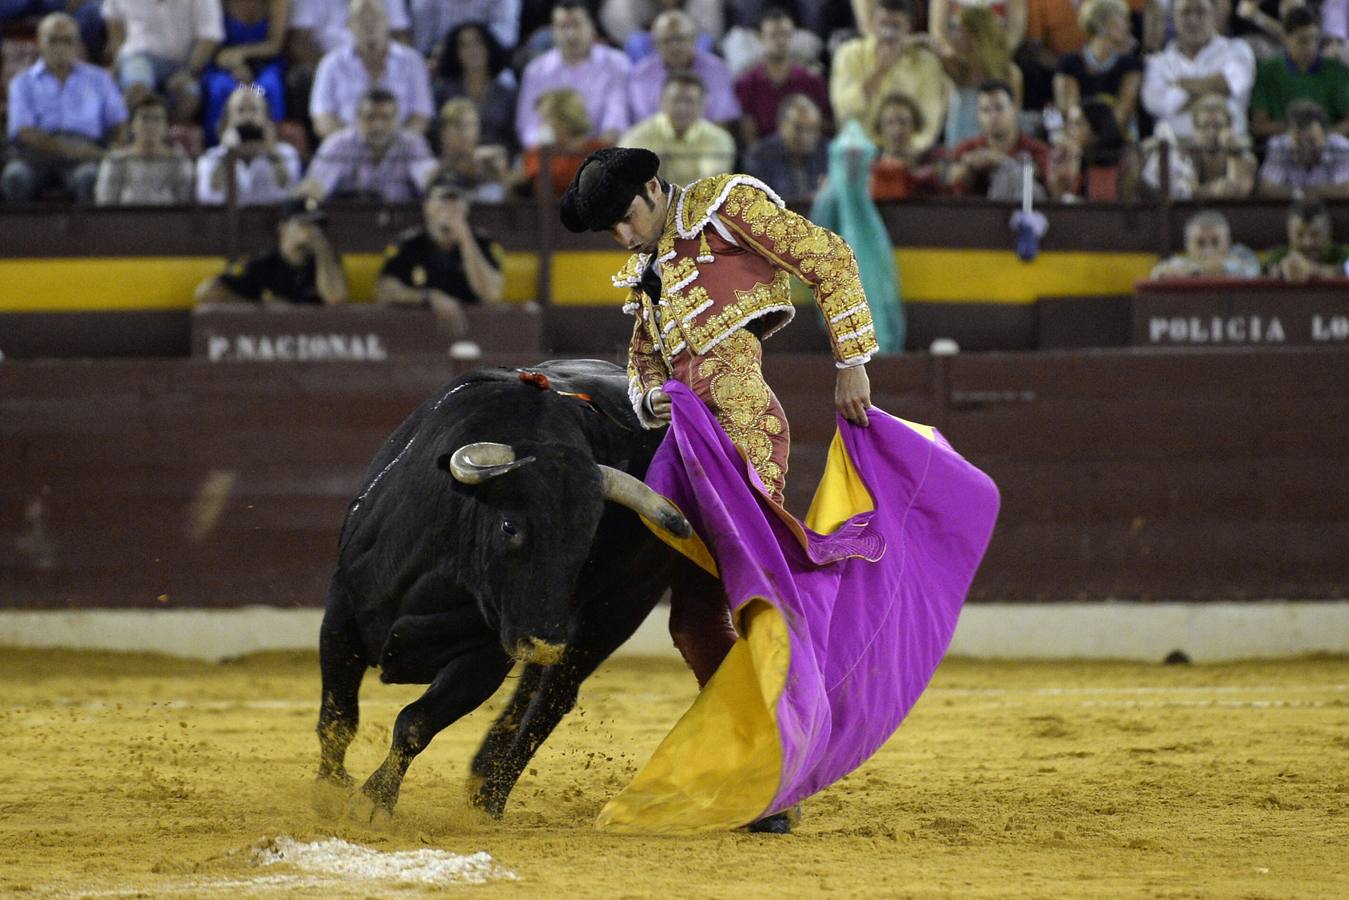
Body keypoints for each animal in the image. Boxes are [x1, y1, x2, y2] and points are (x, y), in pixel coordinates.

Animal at [310, 361, 712, 825]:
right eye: (509, 526)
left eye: (587, 540)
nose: (544, 642)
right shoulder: (341, 611)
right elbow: (339, 717)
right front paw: (329, 790)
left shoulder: (485, 659)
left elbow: (416, 722)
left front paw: (373, 801)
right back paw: (483, 773)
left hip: (616, 611)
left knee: (549, 703)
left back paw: (491, 799)